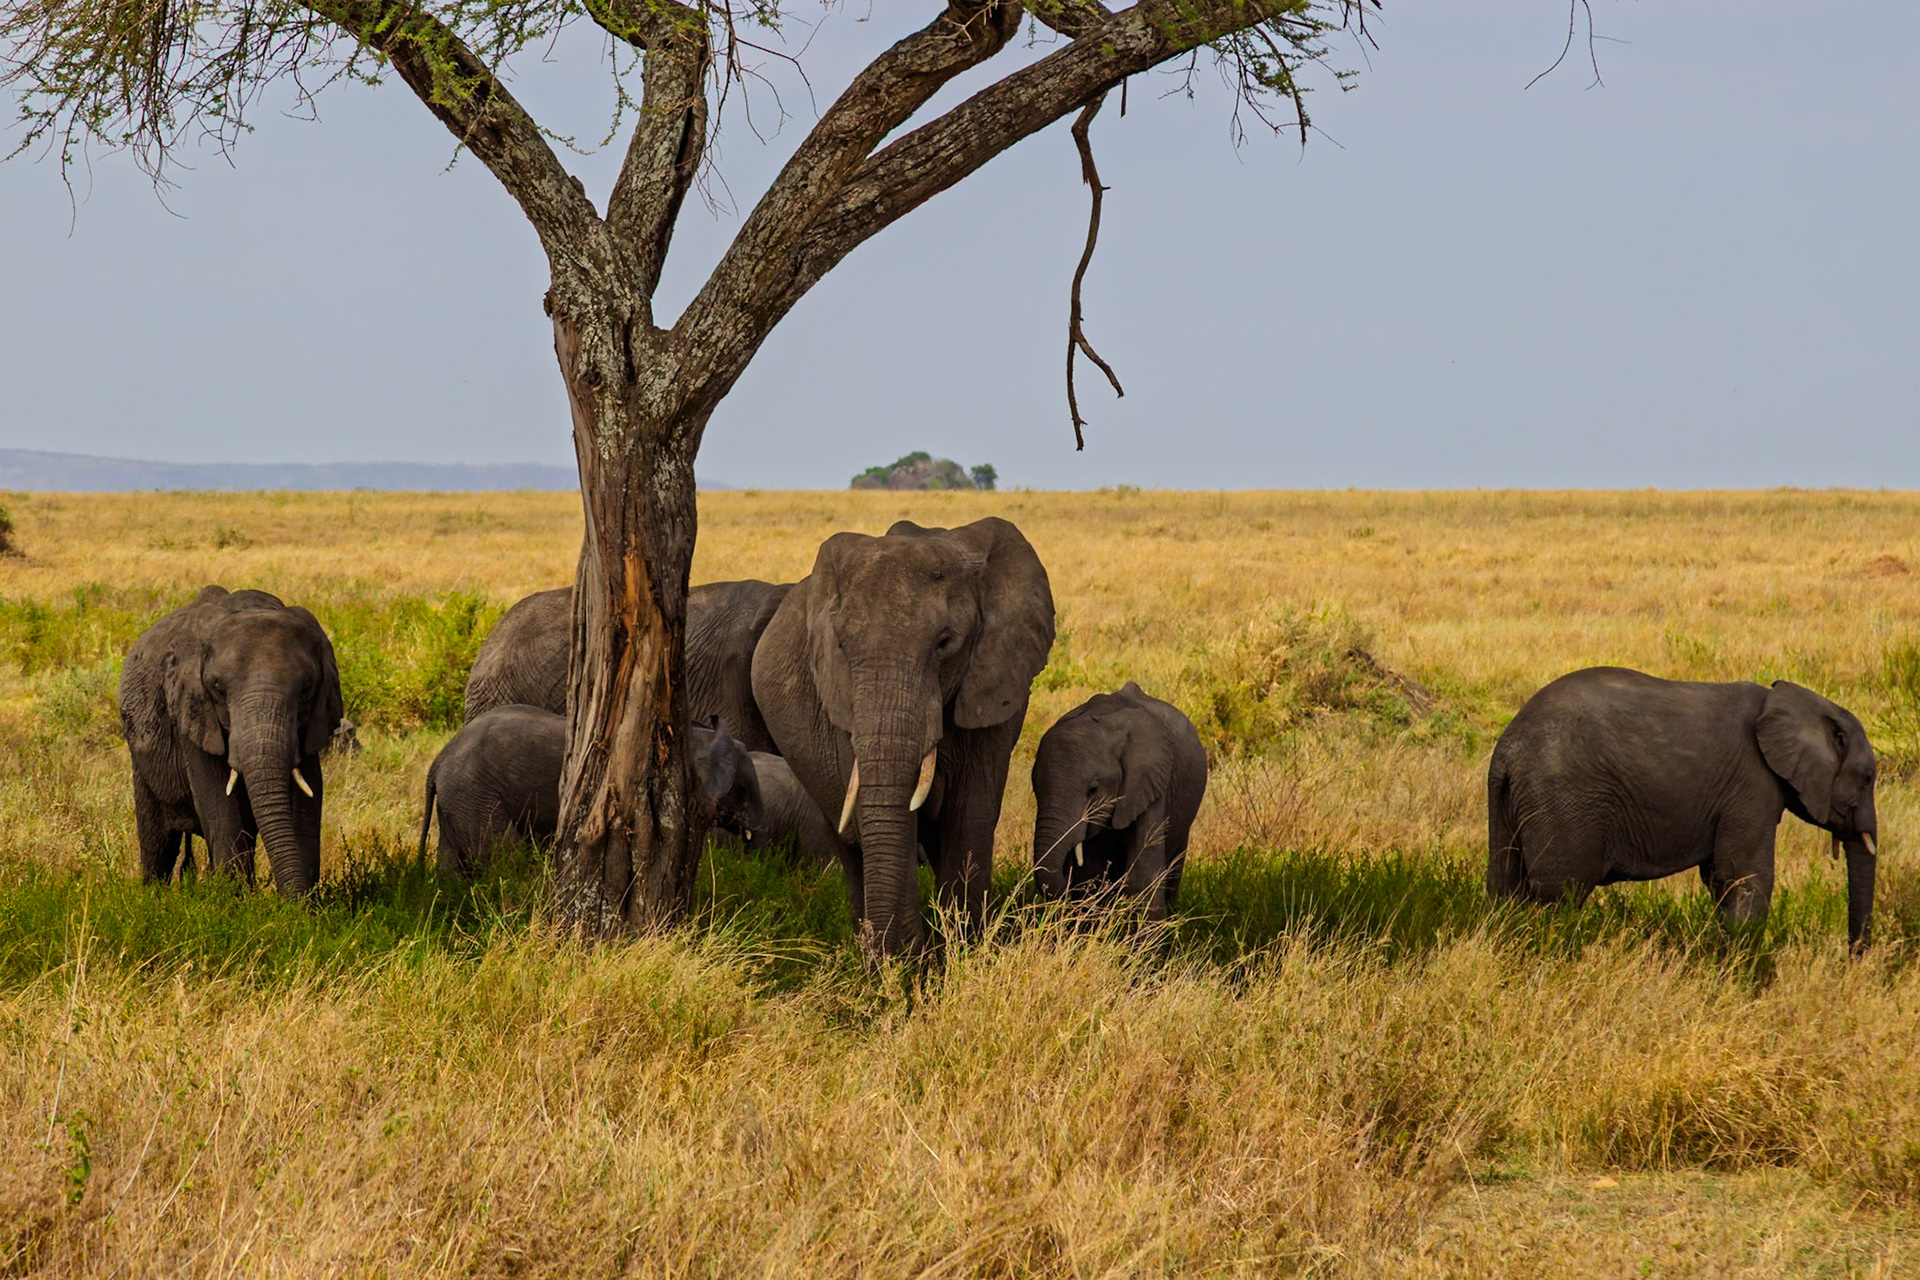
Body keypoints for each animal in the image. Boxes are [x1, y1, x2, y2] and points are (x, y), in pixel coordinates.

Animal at [118, 585, 343, 895]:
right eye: (218, 688)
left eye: (307, 687)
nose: (290, 901)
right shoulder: (192, 714)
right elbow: (220, 807)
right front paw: (230, 902)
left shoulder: (309, 728)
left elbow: (306, 806)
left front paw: (303, 904)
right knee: (157, 841)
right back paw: (153, 896)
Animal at [418, 707, 756, 877]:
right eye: (742, 788)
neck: (701, 736)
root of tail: (437, 761)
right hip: (475, 795)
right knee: (505, 857)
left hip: (459, 799)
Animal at [751, 517, 1055, 953]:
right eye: (841, 646)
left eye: (945, 644)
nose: (908, 949)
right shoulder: (842, 702)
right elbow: (876, 816)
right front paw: (908, 960)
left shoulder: (991, 687)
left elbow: (970, 814)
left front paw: (960, 951)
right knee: (850, 846)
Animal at [1488, 667, 1881, 949]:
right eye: (1868, 778)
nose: (1851, 959)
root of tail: (1507, 748)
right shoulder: (1752, 784)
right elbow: (1745, 875)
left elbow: (1720, 878)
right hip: (1563, 802)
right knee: (1559, 895)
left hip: (1512, 802)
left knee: (1506, 887)